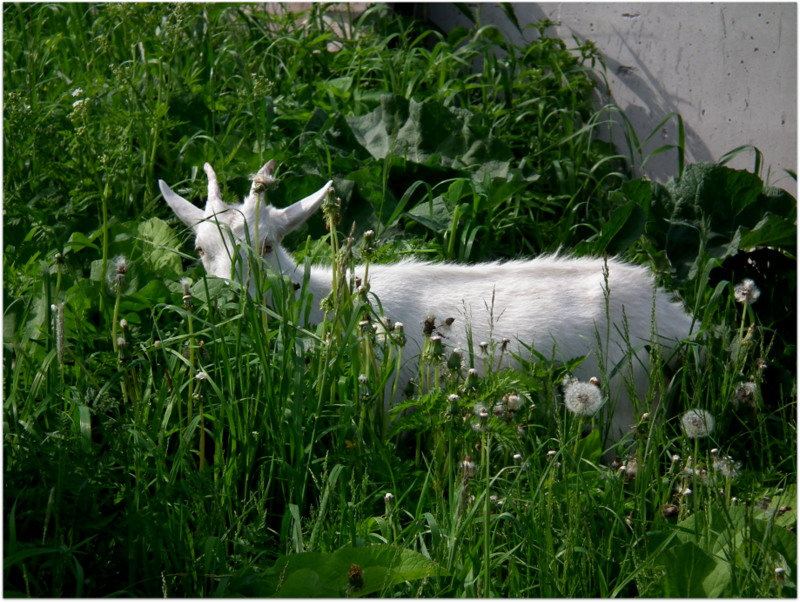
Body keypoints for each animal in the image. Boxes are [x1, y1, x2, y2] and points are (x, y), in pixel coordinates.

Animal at [158, 159, 692, 446]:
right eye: (200, 249)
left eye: (266, 245)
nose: (227, 300)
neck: (319, 297)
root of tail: (676, 317)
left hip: (624, 405)